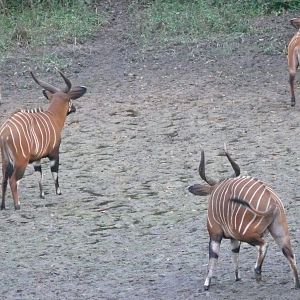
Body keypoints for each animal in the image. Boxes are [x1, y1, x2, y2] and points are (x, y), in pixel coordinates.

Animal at [0, 71, 86, 210]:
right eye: (69, 99)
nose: (74, 108)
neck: (52, 116)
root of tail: (5, 132)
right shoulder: (54, 153)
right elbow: (54, 172)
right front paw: (58, 192)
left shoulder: (37, 159)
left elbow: (39, 175)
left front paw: (42, 195)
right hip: (21, 162)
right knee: (13, 180)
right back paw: (17, 205)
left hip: (6, 161)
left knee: (3, 180)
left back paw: (2, 206)